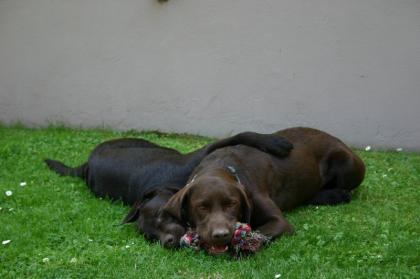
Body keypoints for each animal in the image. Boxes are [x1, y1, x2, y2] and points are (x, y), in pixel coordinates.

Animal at [44, 132, 290, 248]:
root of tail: (86, 165)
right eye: (150, 237)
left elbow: (239, 134)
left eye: (162, 215)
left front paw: (276, 143)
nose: (168, 241)